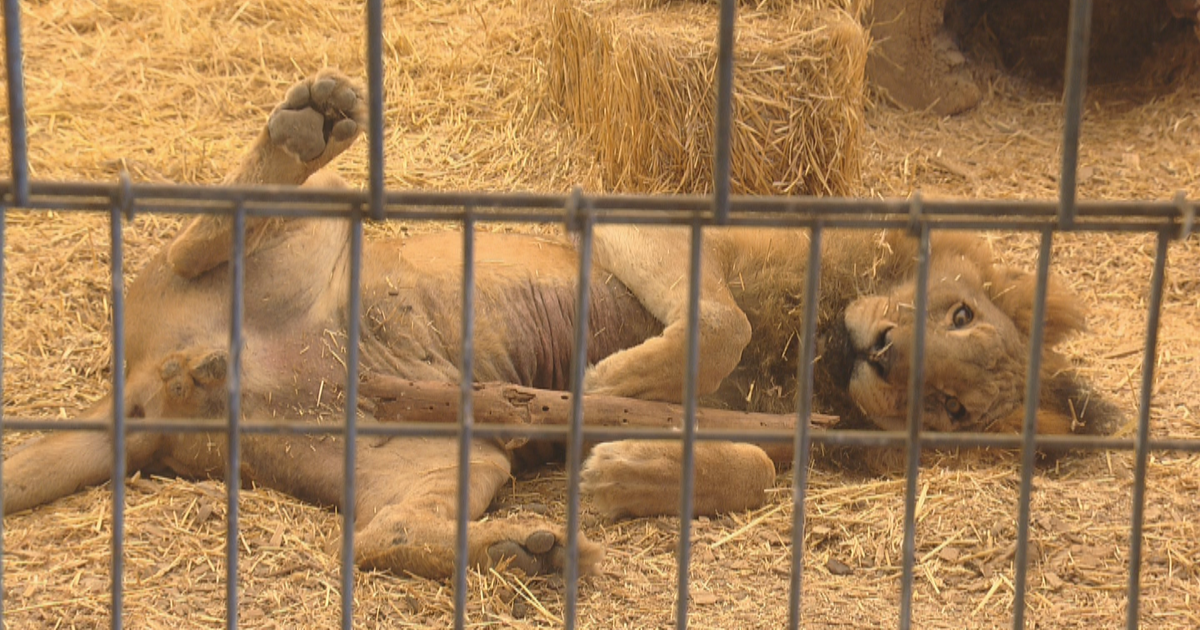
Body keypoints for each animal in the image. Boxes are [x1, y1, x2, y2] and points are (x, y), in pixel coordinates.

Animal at [4, 67, 1118, 573]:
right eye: (960, 313)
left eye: (958, 409)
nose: (881, 352)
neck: (811, 357)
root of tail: (158, 391)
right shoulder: (644, 218)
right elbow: (717, 321)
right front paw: (613, 387)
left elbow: (750, 466)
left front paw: (622, 471)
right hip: (314, 237)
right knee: (209, 231)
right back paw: (308, 126)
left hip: (443, 457)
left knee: (379, 538)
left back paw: (532, 550)